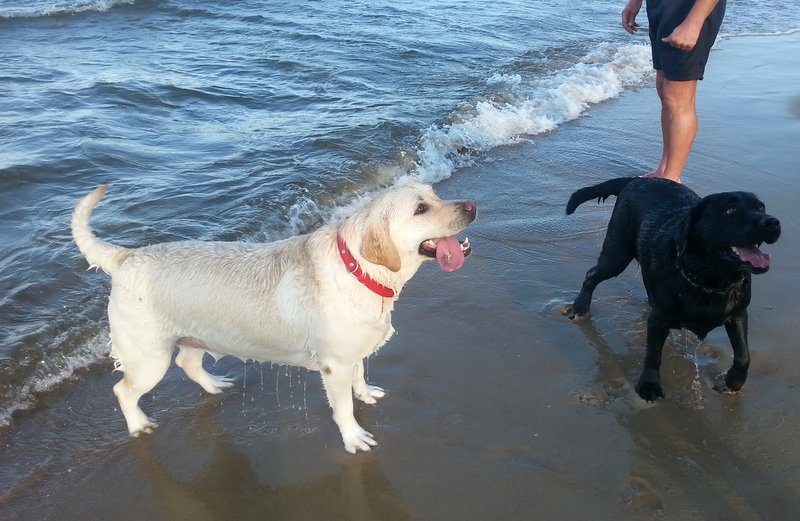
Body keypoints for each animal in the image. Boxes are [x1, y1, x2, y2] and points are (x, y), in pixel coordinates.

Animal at [72, 183, 476, 453]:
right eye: (420, 209)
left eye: (435, 194)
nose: (473, 205)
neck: (358, 269)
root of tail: (126, 258)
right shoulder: (334, 365)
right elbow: (343, 406)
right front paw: (353, 436)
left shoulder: (352, 351)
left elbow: (360, 375)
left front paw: (365, 393)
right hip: (149, 359)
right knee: (123, 390)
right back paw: (139, 424)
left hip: (197, 334)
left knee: (188, 362)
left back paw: (213, 384)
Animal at [562, 177, 780, 402]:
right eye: (731, 210)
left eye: (761, 207)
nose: (772, 222)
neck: (709, 281)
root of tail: (636, 179)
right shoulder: (660, 318)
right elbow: (653, 355)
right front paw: (649, 385)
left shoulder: (738, 313)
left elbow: (743, 355)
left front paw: (732, 382)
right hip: (617, 254)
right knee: (591, 275)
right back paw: (579, 307)